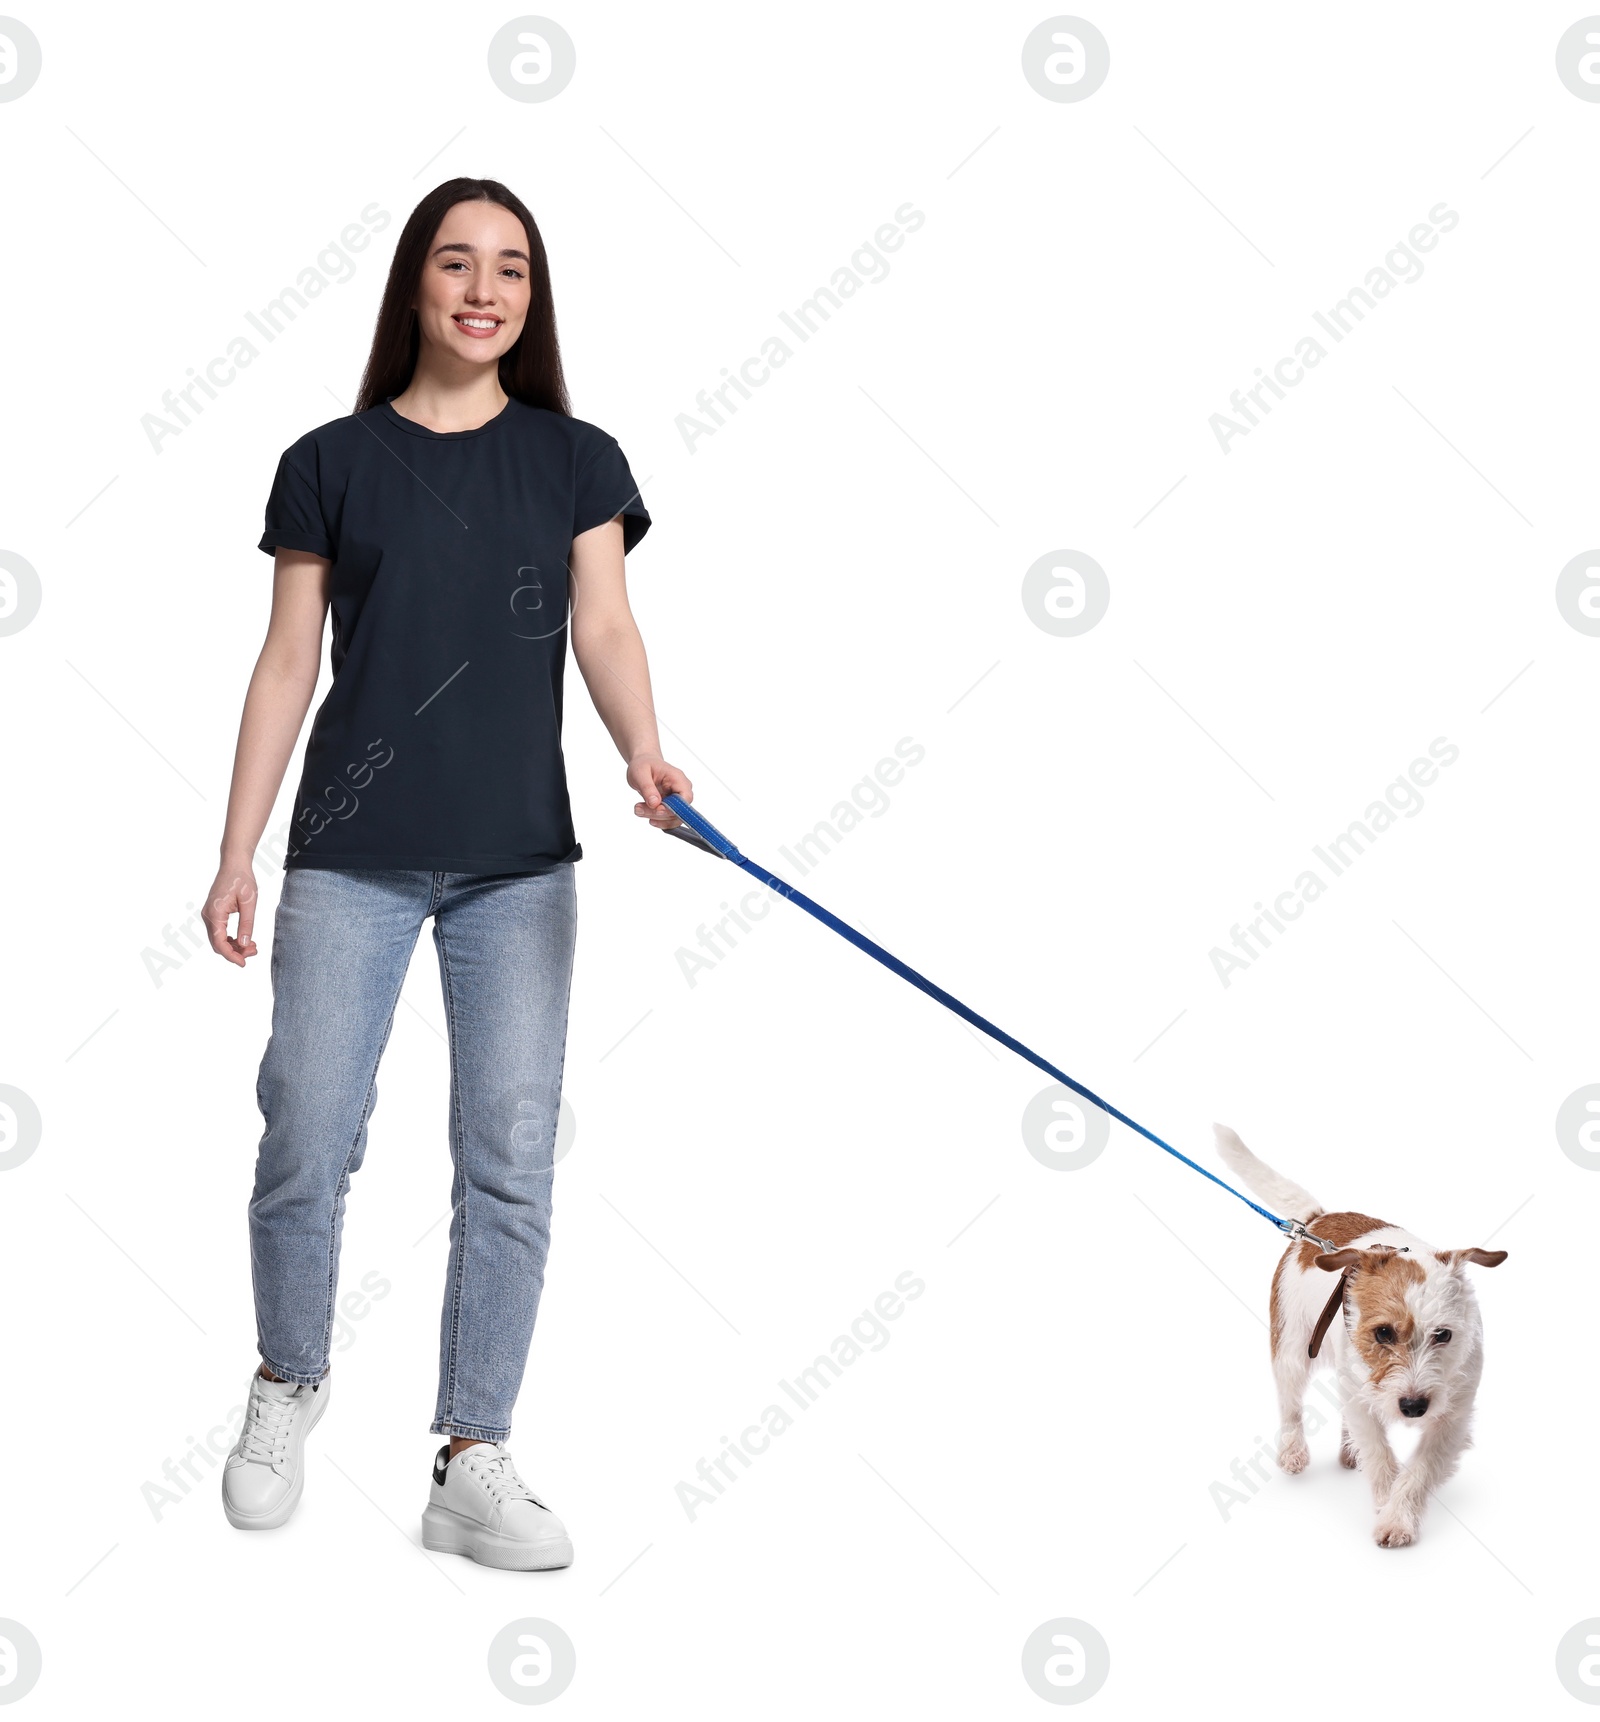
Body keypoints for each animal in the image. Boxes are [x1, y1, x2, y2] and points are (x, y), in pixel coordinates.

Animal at [1212, 1122, 1508, 1556]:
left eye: (1443, 1335)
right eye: (1383, 1332)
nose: (1413, 1407)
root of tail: (1316, 1223)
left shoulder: (1451, 1419)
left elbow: (1418, 1470)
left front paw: (1397, 1516)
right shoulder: (1362, 1397)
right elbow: (1381, 1457)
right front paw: (1387, 1504)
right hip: (1292, 1348)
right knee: (1290, 1404)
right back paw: (1293, 1452)